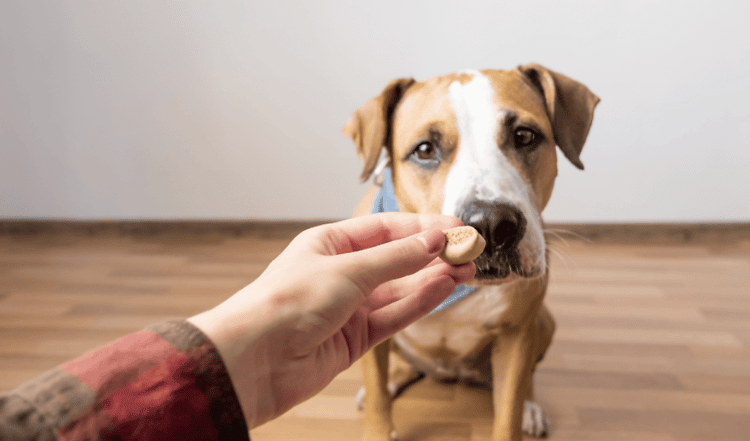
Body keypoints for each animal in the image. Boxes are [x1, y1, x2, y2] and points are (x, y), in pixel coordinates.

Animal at [346, 62, 600, 440]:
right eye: (424, 150)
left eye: (525, 136)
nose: (493, 224)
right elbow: (378, 397)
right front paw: (378, 415)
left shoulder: (516, 335)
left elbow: (508, 411)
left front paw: (519, 411)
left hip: (543, 323)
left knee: (527, 380)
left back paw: (531, 407)